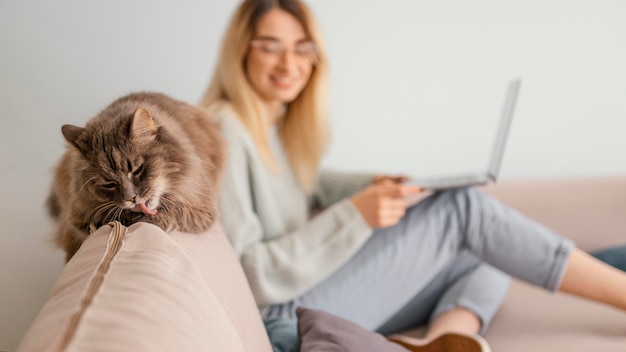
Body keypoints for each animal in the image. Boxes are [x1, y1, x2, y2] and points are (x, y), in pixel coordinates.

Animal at [48, 92, 224, 262]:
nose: (132, 198)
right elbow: (113, 216)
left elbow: (175, 210)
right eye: (109, 184)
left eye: (138, 169)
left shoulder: (202, 207)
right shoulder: (79, 216)